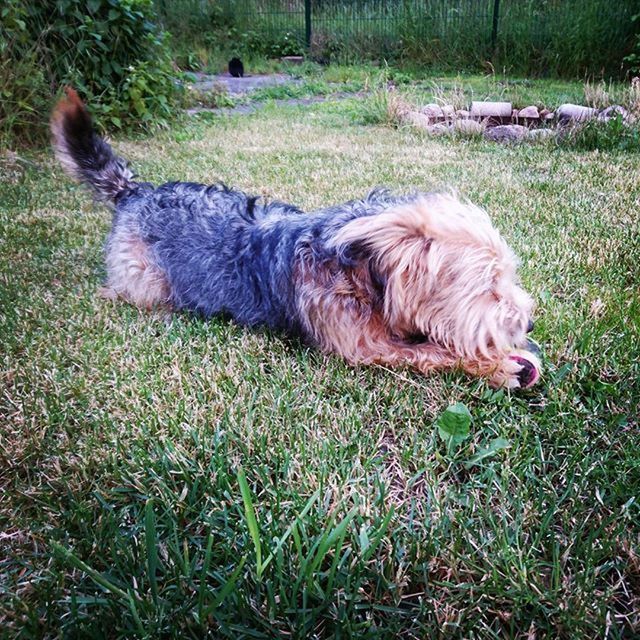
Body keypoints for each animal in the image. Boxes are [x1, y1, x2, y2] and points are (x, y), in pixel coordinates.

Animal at [48, 90, 540, 390]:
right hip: (145, 285)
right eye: (489, 288)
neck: (362, 275)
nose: (531, 323)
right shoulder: (363, 348)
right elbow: (432, 354)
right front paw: (497, 366)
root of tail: (135, 191)